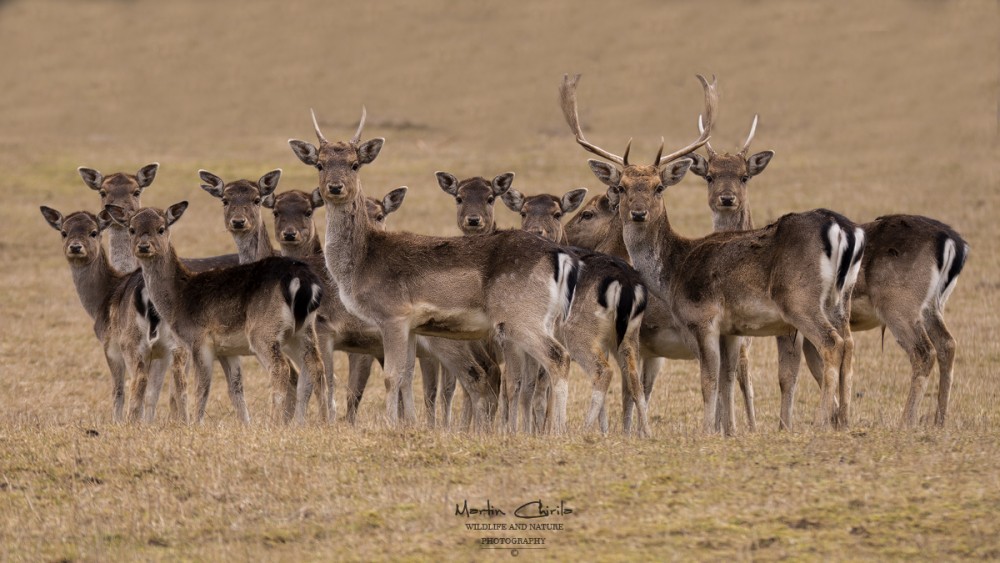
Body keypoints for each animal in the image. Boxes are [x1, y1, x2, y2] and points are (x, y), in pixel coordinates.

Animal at [106, 200, 326, 426]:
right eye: (132, 229)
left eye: (161, 228)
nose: (143, 247)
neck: (178, 300)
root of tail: (302, 280)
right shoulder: (226, 349)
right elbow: (234, 387)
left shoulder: (198, 340)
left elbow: (201, 387)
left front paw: (195, 424)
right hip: (305, 329)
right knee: (316, 365)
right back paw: (324, 420)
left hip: (263, 331)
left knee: (281, 368)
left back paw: (273, 423)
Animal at [290, 108, 580, 432]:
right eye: (320, 163)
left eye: (354, 164)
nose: (335, 187)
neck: (361, 265)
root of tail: (560, 257)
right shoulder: (412, 324)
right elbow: (406, 376)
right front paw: (409, 424)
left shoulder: (392, 313)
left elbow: (391, 376)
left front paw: (391, 424)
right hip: (546, 319)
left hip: (520, 314)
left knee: (558, 358)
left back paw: (557, 430)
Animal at [560, 75, 864, 434]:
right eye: (622, 187)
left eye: (659, 187)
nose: (637, 213)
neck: (673, 270)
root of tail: (843, 230)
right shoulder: (732, 331)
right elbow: (726, 379)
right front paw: (727, 430)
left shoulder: (703, 317)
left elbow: (709, 381)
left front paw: (707, 431)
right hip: (840, 301)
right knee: (847, 343)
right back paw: (843, 420)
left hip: (799, 298)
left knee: (831, 344)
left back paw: (819, 422)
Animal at [688, 115, 968, 428]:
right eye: (710, 176)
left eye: (744, 176)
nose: (726, 198)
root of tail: (955, 243)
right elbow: (815, 367)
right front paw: (838, 419)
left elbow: (784, 373)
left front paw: (779, 425)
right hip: (932, 306)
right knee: (947, 344)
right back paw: (939, 420)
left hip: (899, 304)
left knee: (923, 351)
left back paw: (906, 421)